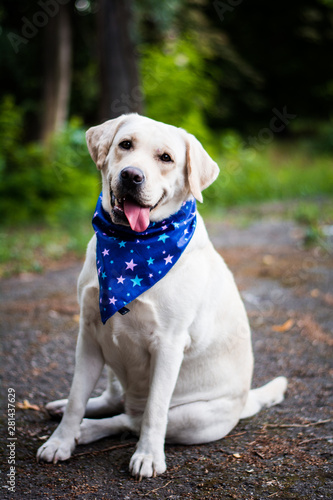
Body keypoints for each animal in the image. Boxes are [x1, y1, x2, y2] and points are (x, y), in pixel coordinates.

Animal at [35, 113, 286, 476]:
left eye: (166, 158)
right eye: (125, 145)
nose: (131, 175)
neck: (131, 243)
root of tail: (245, 402)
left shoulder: (168, 344)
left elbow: (154, 411)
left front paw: (148, 456)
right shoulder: (90, 334)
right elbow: (76, 398)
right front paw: (60, 441)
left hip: (193, 417)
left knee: (131, 419)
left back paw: (93, 430)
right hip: (111, 361)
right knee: (113, 401)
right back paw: (73, 415)